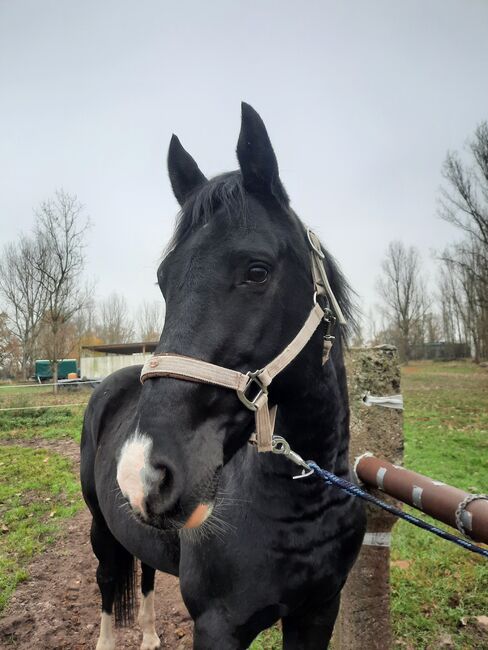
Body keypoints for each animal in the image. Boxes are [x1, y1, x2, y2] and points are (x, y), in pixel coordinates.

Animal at [80, 104, 364, 644]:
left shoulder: (320, 612)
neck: (300, 504)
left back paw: (149, 636)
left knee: (146, 573)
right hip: (102, 528)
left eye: (256, 271)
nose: (143, 472)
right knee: (107, 581)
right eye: (163, 281)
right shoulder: (218, 627)